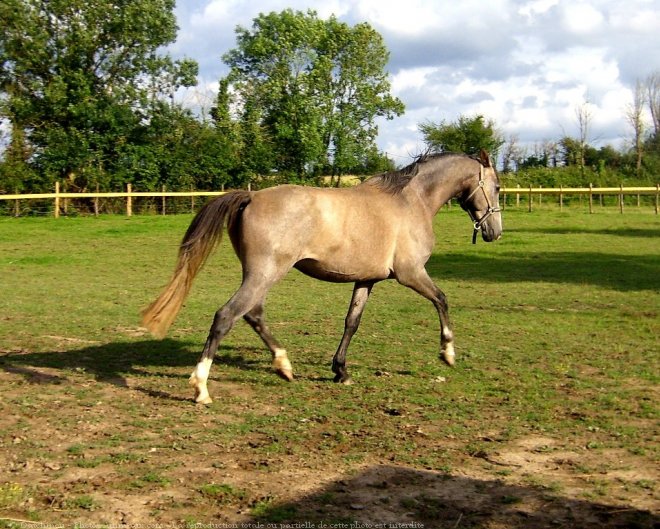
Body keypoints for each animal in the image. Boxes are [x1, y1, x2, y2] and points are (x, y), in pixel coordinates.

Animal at [142, 151, 502, 402]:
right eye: (497, 187)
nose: (494, 232)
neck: (411, 201)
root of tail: (252, 196)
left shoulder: (367, 280)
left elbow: (352, 322)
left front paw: (340, 371)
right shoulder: (411, 273)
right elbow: (442, 300)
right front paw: (448, 353)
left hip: (261, 275)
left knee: (253, 315)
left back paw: (284, 366)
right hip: (265, 273)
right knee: (227, 315)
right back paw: (201, 388)